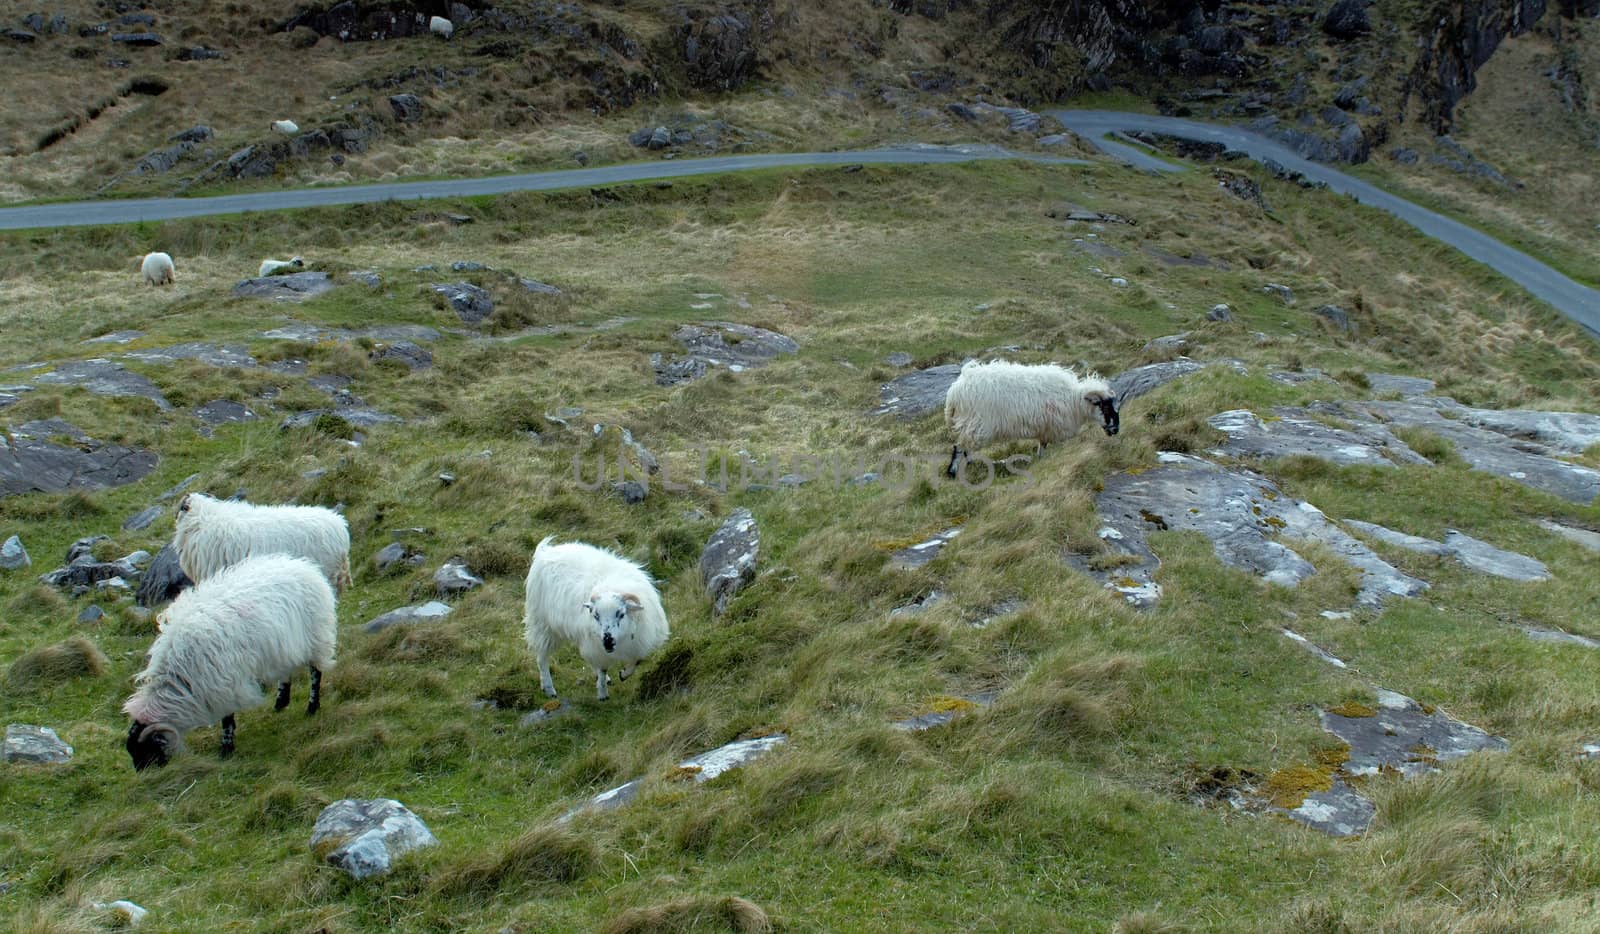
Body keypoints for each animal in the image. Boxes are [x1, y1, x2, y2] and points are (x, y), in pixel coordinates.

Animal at [124, 553, 337, 767]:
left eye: (146, 750)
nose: (142, 772)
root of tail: (304, 566)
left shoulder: (223, 683)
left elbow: (226, 719)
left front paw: (226, 749)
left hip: (316, 637)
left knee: (315, 673)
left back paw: (312, 707)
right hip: (283, 647)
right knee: (286, 672)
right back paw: (280, 703)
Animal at [524, 537, 668, 697]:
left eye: (621, 614)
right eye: (596, 616)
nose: (608, 641)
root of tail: (545, 551)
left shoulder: (640, 641)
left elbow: (638, 660)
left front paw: (623, 674)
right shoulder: (598, 645)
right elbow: (603, 668)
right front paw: (603, 692)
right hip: (542, 624)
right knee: (542, 657)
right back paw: (549, 688)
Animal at [940, 355, 1120, 473]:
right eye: (1105, 408)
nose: (1116, 430)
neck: (1074, 400)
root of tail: (955, 390)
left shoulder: (1046, 429)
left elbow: (1042, 448)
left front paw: (1041, 461)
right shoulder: (1053, 427)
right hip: (975, 423)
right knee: (960, 447)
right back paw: (955, 471)